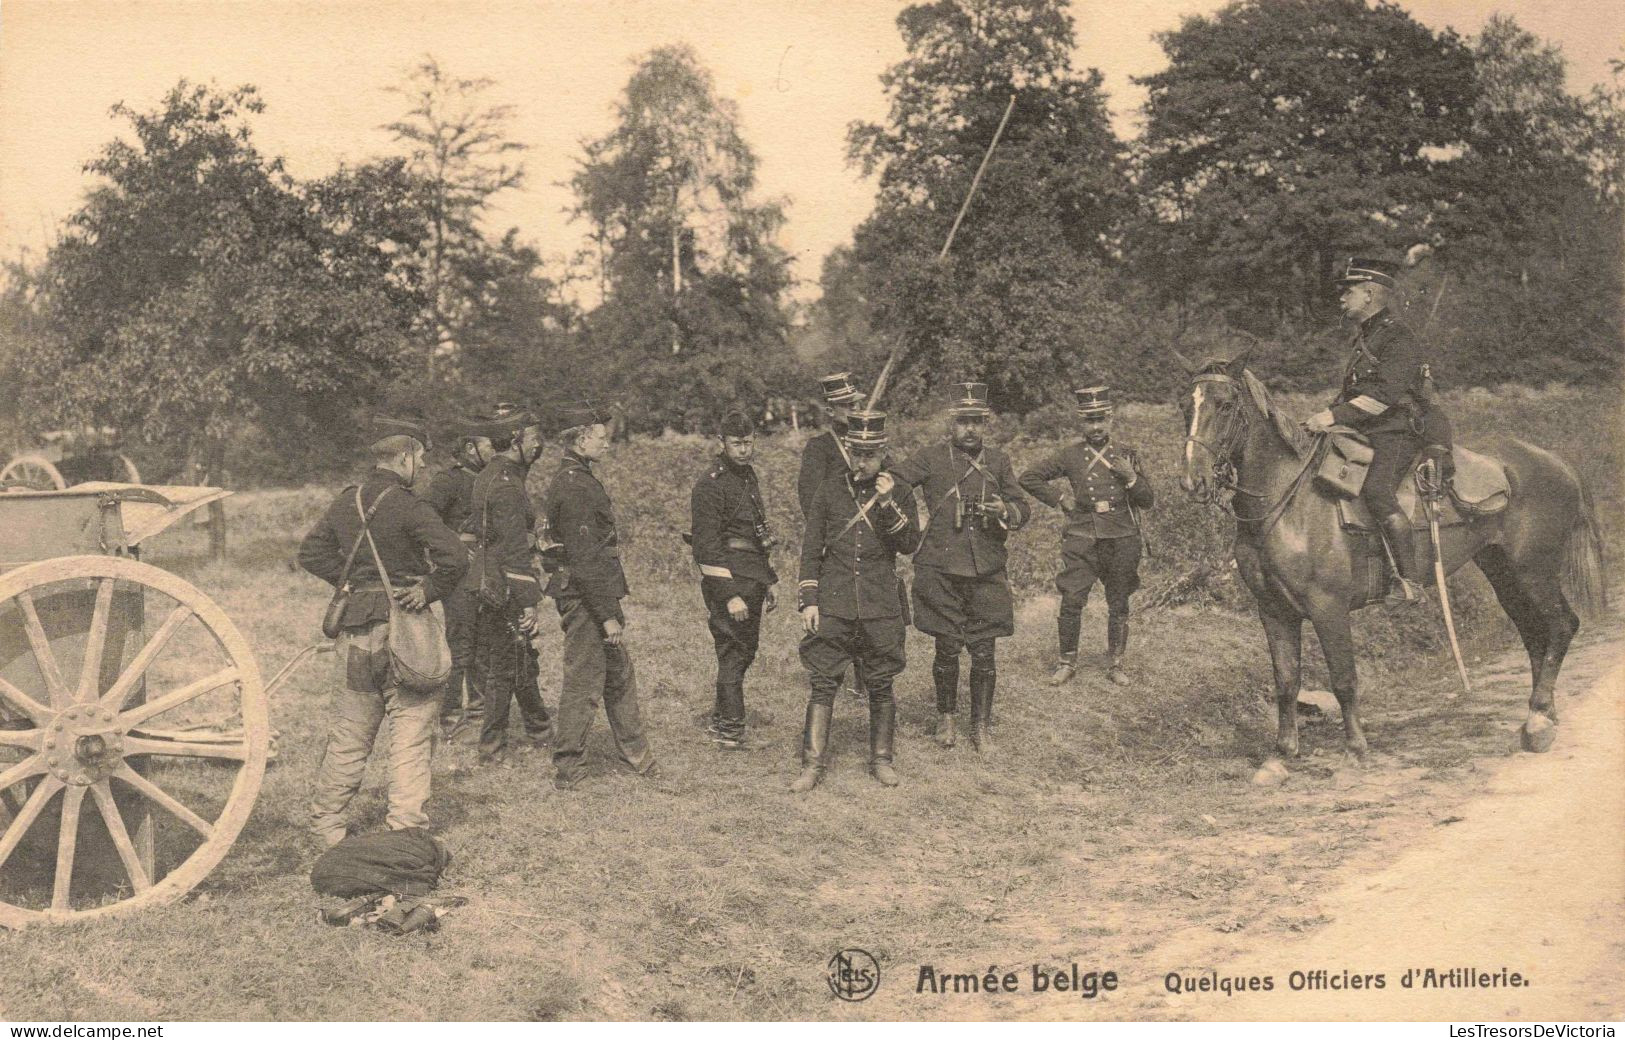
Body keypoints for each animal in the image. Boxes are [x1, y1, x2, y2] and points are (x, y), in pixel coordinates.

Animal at [1176, 357, 1605, 780]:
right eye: (1186, 406)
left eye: (1224, 405)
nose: (1193, 481)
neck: (1288, 498)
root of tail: (1555, 460)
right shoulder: (1273, 610)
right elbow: (1285, 680)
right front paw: (1281, 755)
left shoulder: (1327, 608)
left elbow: (1343, 679)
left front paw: (1355, 751)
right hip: (1504, 573)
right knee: (1535, 636)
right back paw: (1540, 717)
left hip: (1535, 571)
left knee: (1562, 626)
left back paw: (1538, 721)